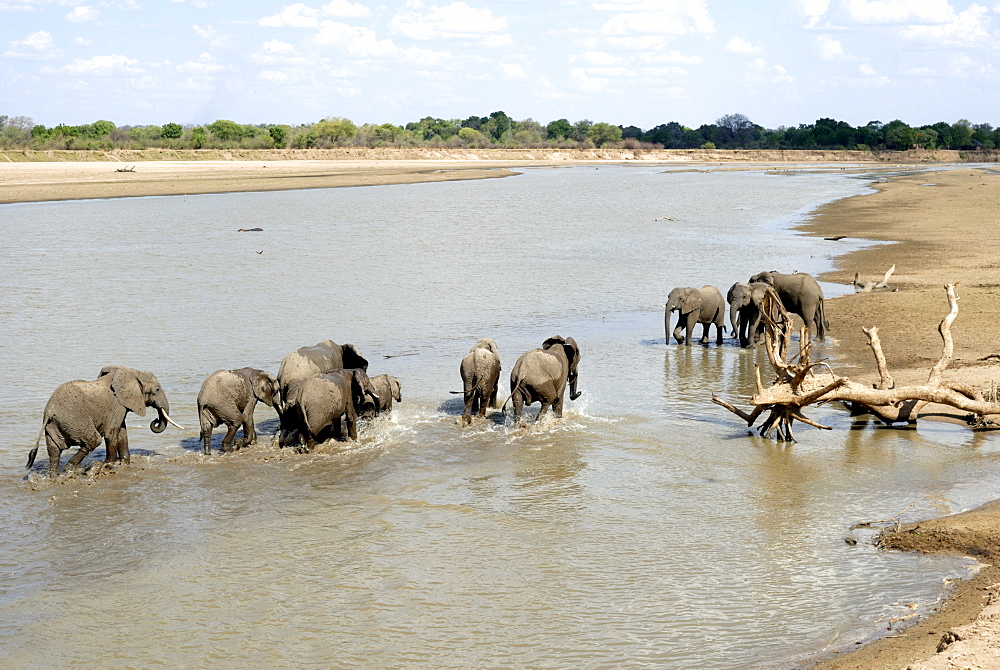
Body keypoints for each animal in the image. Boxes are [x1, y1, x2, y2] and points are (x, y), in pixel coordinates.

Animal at [26, 368, 184, 478]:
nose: (156, 421)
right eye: (157, 390)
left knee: (54, 451)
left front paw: (124, 465)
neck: (132, 372)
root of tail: (49, 411)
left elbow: (122, 432)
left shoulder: (121, 406)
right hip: (74, 420)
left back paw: (56, 477)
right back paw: (72, 469)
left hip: (53, 425)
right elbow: (111, 433)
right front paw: (108, 465)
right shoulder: (117, 404)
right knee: (93, 440)